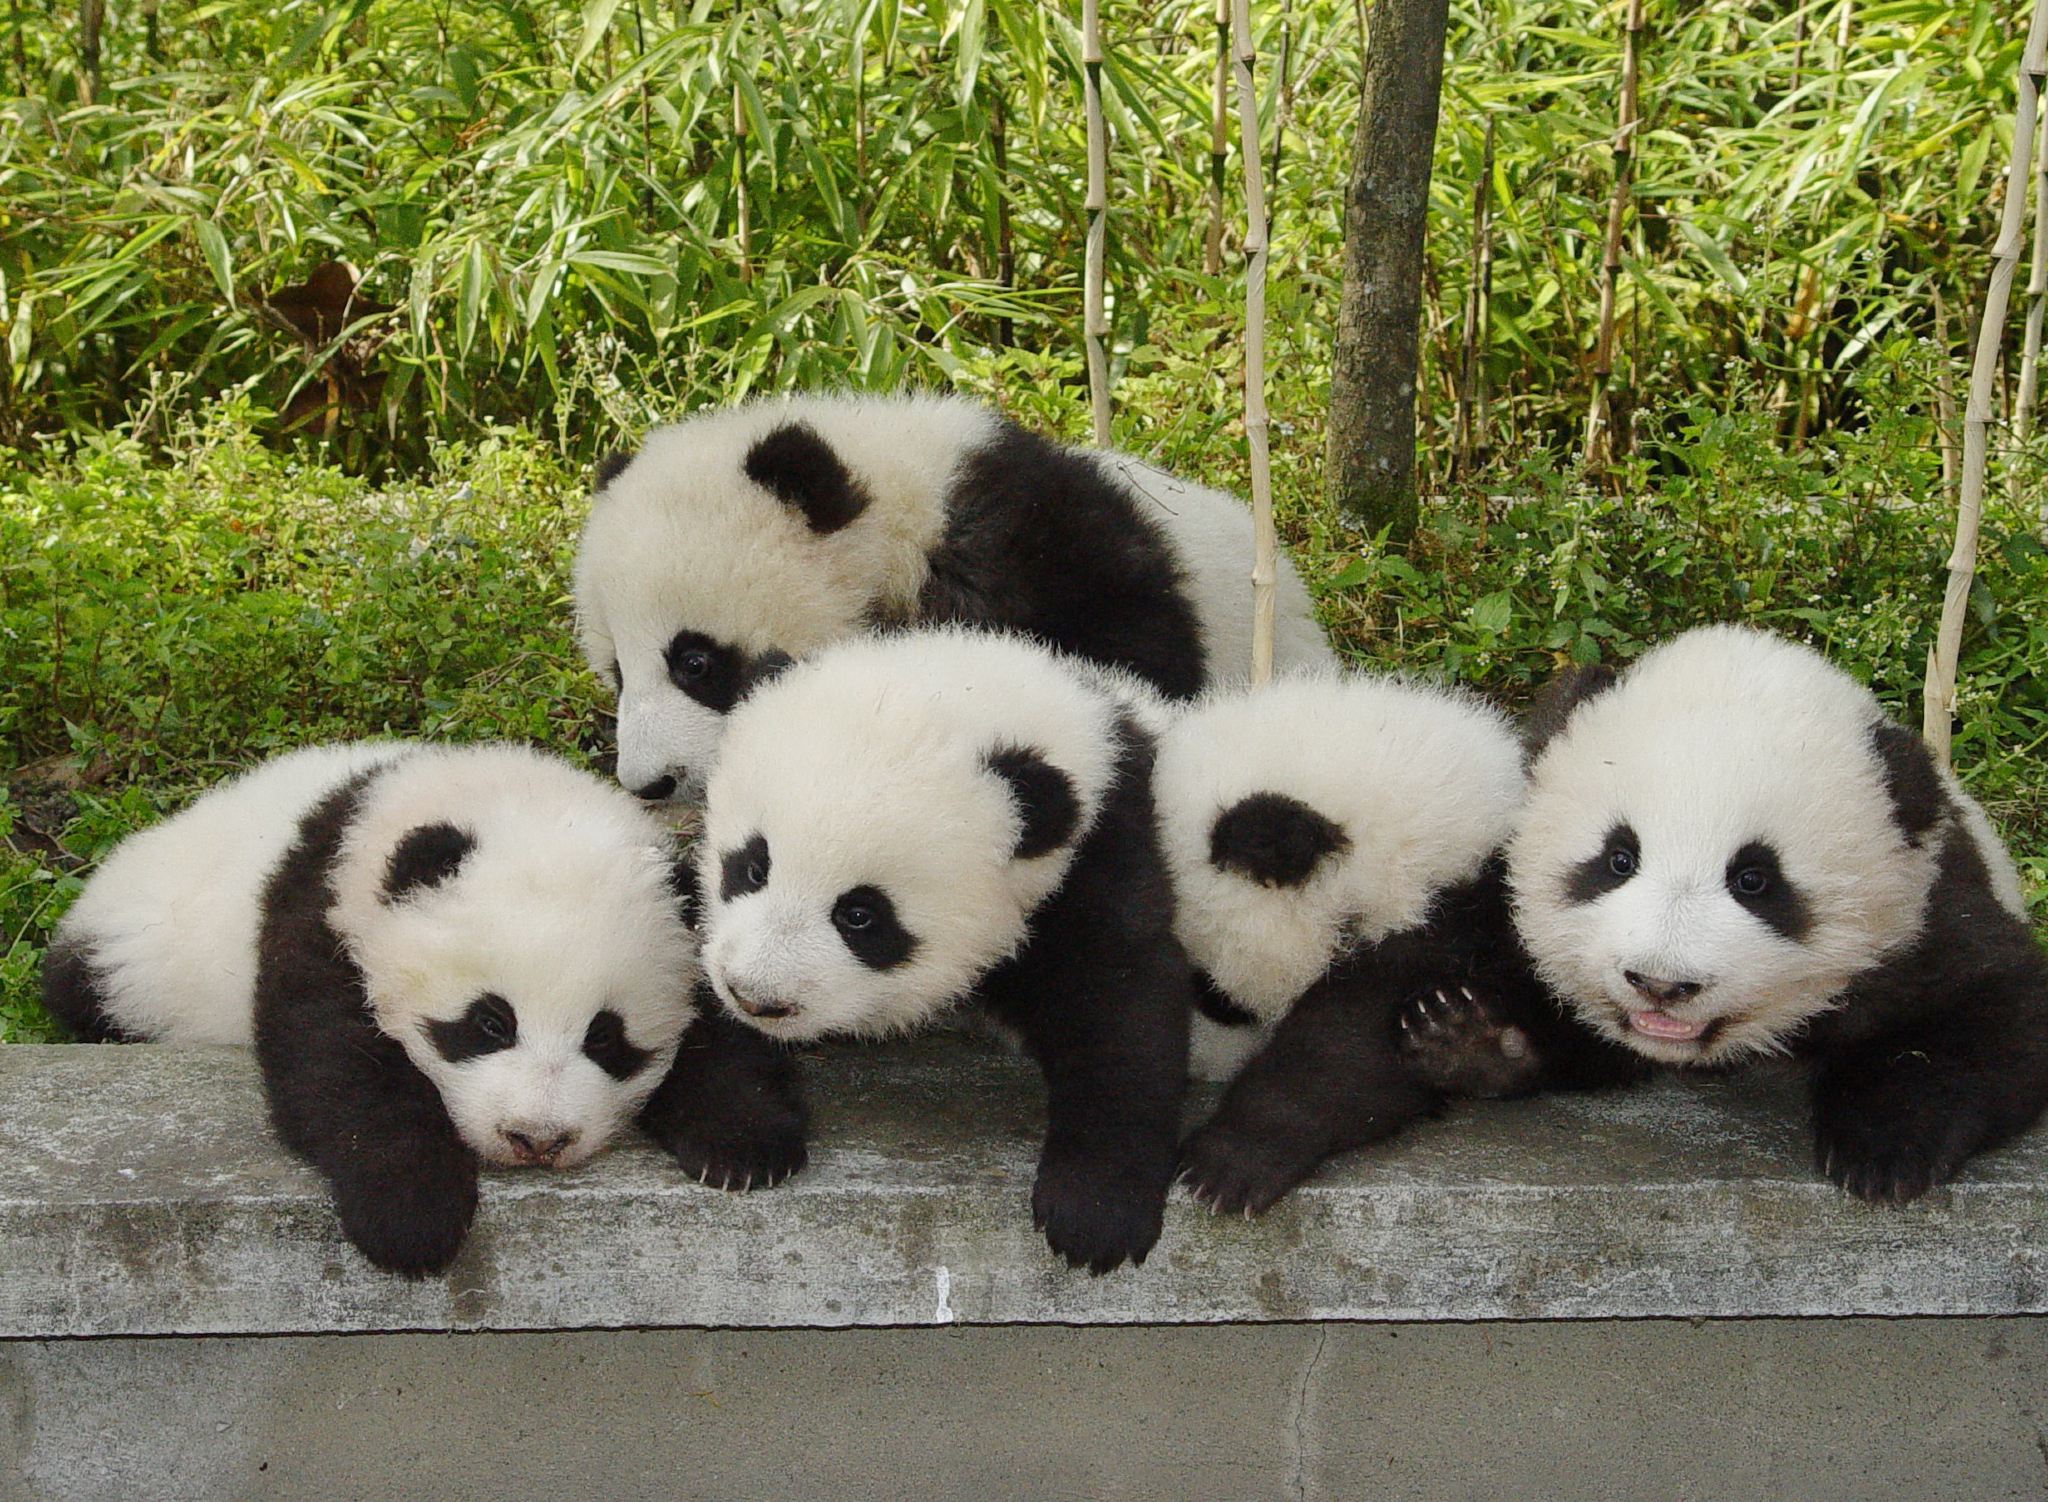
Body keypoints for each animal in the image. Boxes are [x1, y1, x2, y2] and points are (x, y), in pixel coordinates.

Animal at [44, 741, 805, 1276]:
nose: (537, 1139)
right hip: (136, 956)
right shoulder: (324, 914)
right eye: (489, 1023)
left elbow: (725, 1028)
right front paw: (410, 1214)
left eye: (605, 1039)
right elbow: (335, 1067)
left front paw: (742, 1147)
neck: (498, 793)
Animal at [694, 626, 1190, 1274]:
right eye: (753, 867)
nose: (756, 997)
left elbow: (1120, 1003)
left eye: (860, 915)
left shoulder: (1100, 854)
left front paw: (1096, 1212)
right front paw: (740, 1140)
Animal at [1505, 625, 2048, 1203]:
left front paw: (1883, 1150)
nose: (1660, 984)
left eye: (1754, 880)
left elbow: (1994, 1015)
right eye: (1618, 859)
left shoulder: (1928, 908)